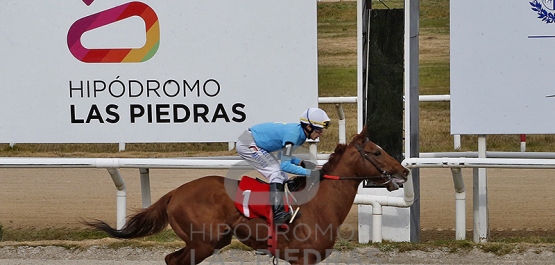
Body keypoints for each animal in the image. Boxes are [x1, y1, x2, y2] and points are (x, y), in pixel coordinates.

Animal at [86, 127, 408, 262]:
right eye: (376, 152)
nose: (404, 171)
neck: (319, 204)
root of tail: (174, 193)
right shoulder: (302, 259)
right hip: (203, 241)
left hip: (209, 241)